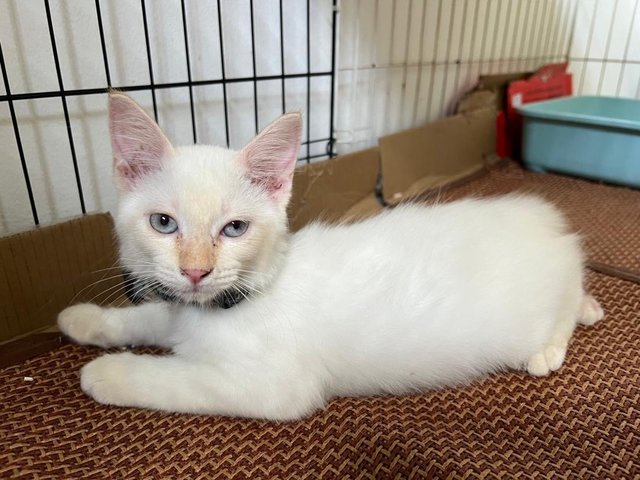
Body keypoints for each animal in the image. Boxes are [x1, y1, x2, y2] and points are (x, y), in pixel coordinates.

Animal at [58, 93, 604, 420]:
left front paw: (109, 372)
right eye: (163, 224)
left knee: (565, 305)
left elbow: (179, 379)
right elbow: (149, 316)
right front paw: (86, 320)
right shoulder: (176, 310)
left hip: (536, 309)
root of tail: (545, 222)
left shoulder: (275, 386)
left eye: (234, 228)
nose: (195, 271)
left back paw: (553, 345)